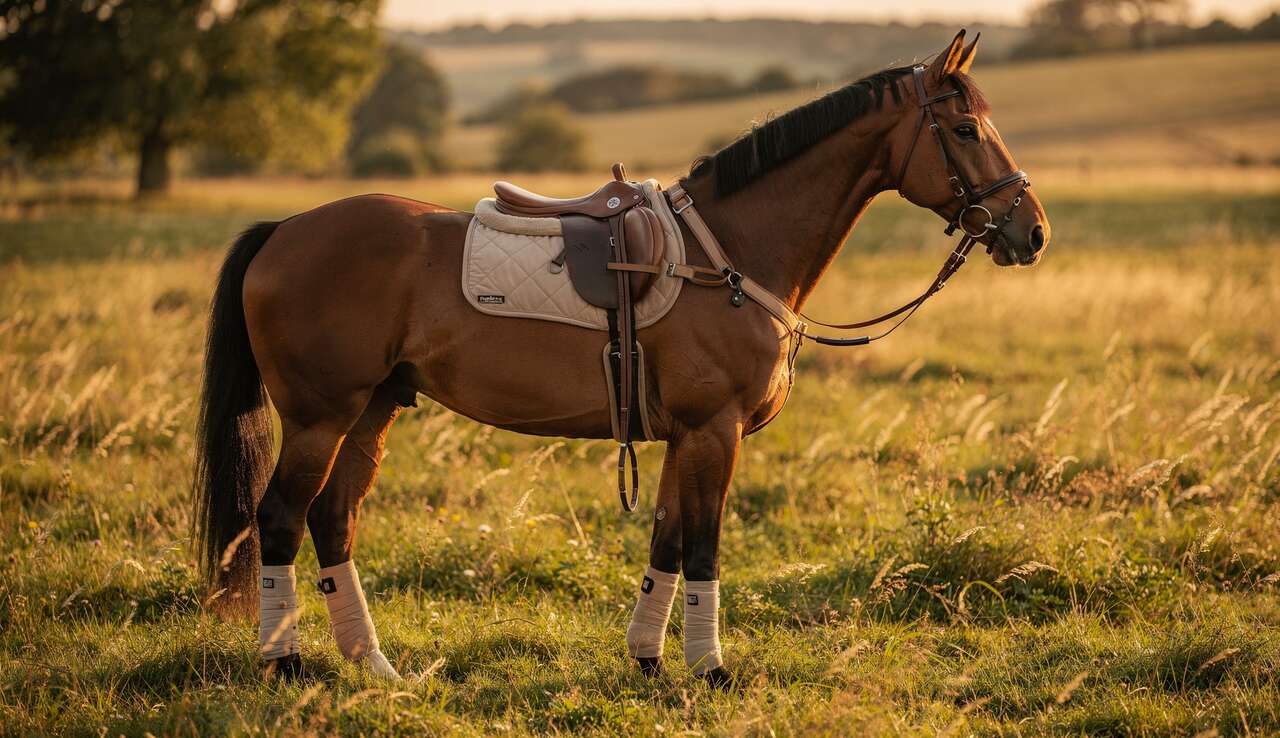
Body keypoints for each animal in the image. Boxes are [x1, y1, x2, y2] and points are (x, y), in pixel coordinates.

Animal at [193, 30, 1049, 685]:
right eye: (965, 131)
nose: (1031, 229)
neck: (729, 256)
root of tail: (284, 230)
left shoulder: (683, 436)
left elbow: (665, 542)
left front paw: (647, 659)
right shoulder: (714, 430)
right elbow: (703, 547)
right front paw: (711, 669)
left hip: (373, 411)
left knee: (332, 519)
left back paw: (372, 665)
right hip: (320, 417)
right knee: (280, 519)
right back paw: (284, 662)